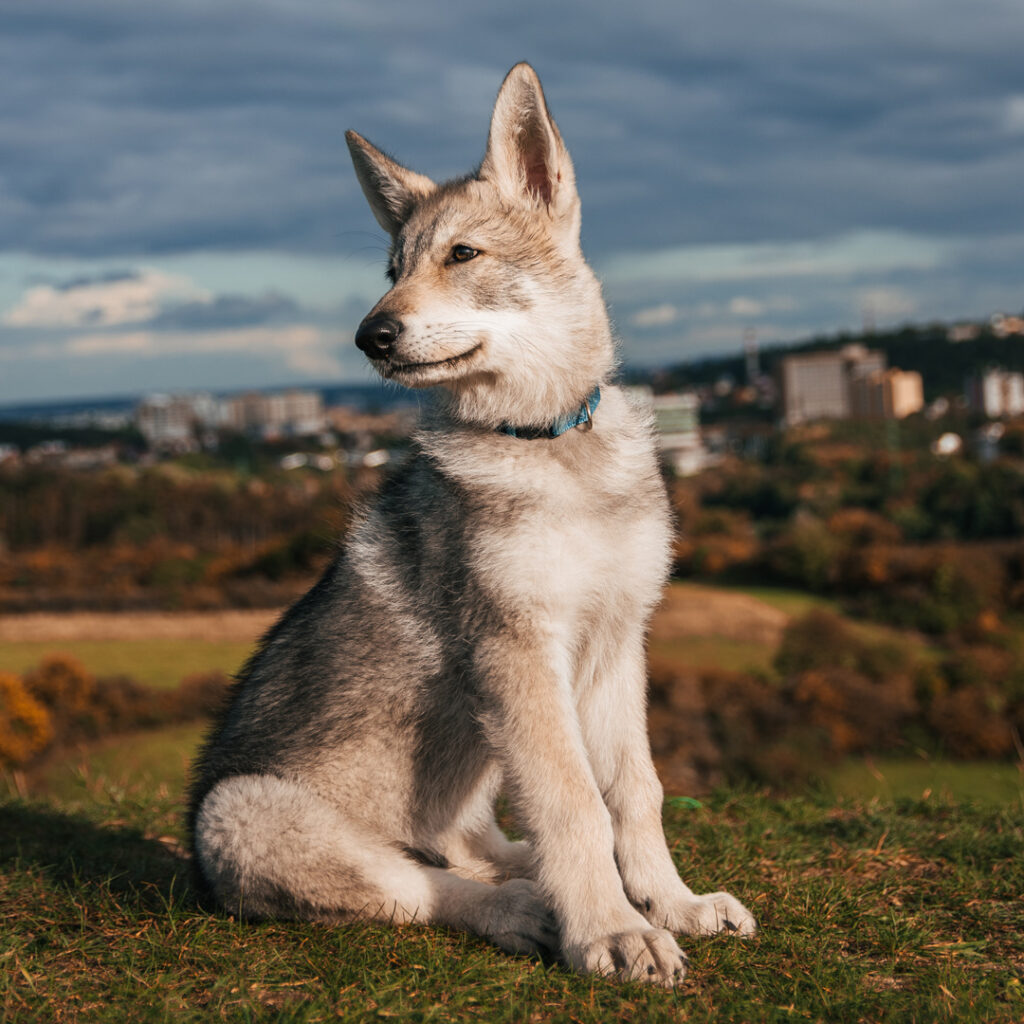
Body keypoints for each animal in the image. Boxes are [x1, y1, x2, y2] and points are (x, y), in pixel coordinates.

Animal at [188, 61, 757, 983]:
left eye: (462, 254)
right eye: (391, 267)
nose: (371, 336)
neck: (548, 442)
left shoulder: (616, 643)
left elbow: (633, 794)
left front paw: (672, 904)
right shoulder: (518, 648)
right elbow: (574, 804)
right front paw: (612, 931)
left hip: (475, 764)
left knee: (465, 846)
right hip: (246, 812)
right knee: (422, 885)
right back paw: (528, 909)